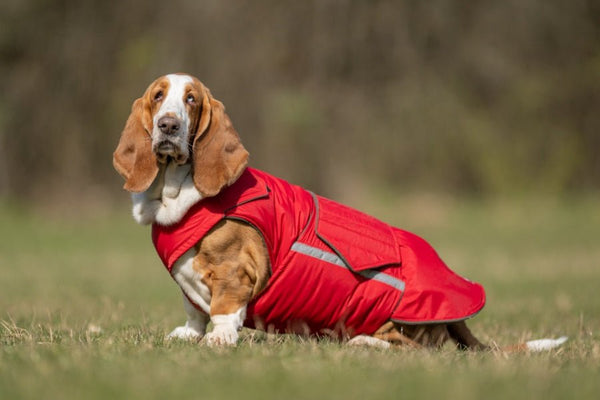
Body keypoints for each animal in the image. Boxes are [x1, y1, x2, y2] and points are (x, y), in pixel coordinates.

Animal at [112, 73, 568, 352]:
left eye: (191, 100)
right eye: (158, 97)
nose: (169, 126)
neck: (175, 192)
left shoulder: (233, 270)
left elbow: (224, 309)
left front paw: (219, 339)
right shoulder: (187, 280)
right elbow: (194, 309)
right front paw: (189, 334)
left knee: (417, 349)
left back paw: (364, 343)